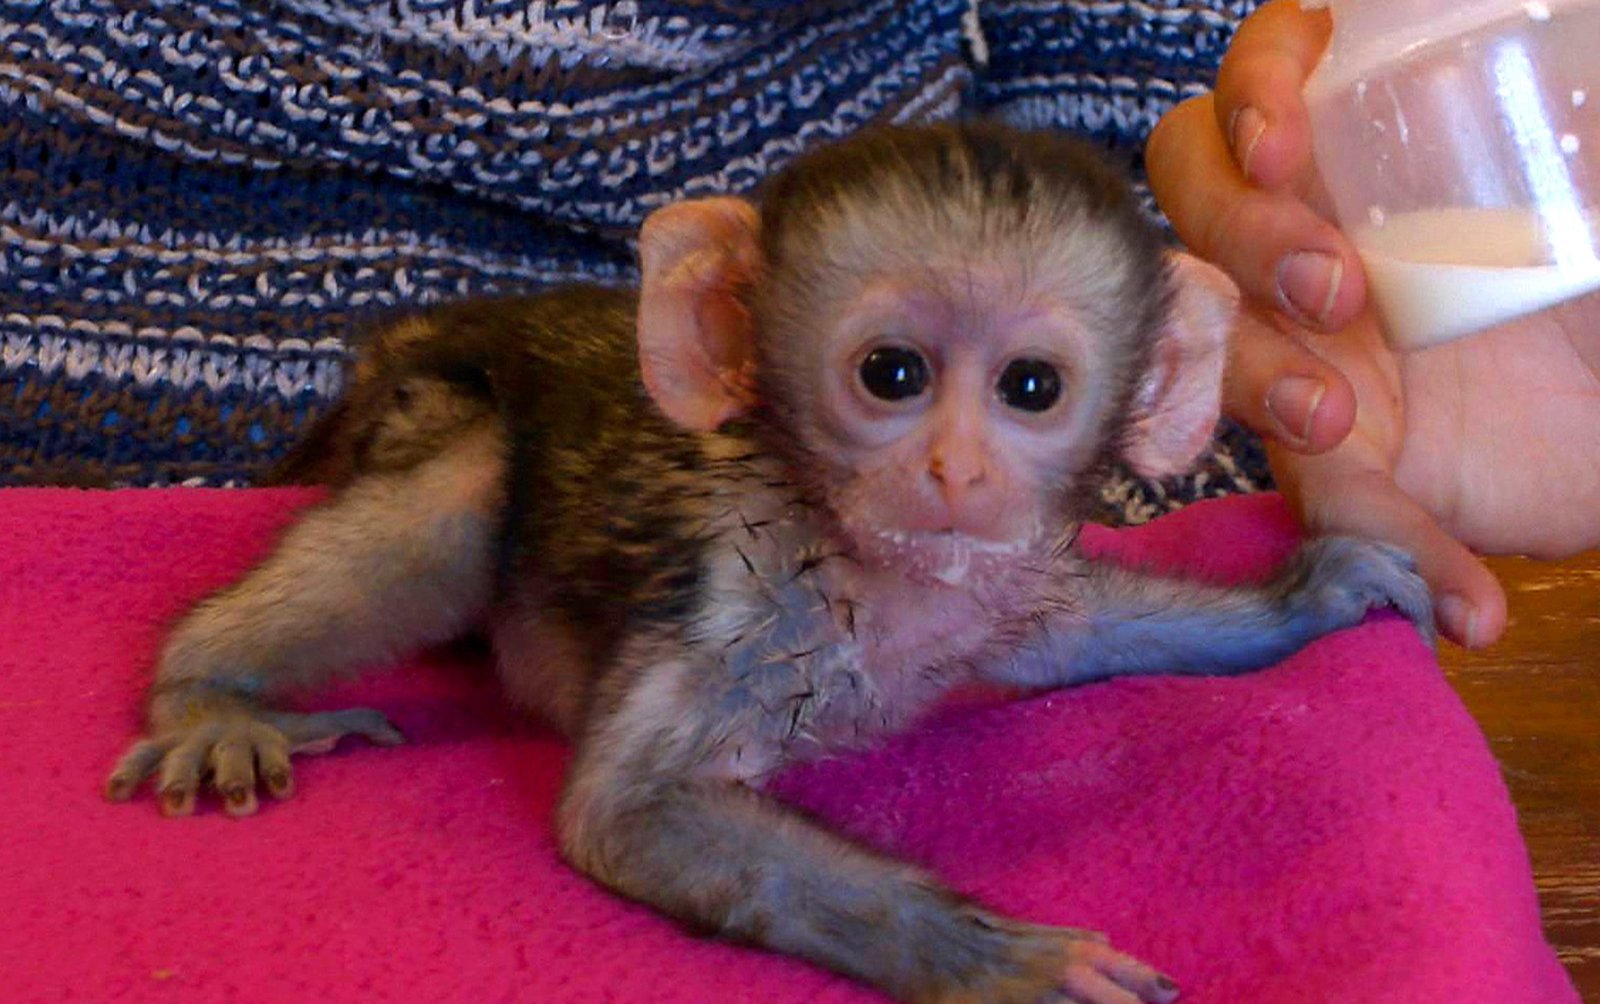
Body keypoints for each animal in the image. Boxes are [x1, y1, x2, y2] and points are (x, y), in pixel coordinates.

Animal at [105, 122, 1433, 1004]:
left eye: (1030, 388)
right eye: (891, 374)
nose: (956, 471)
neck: (875, 577)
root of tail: (438, 327)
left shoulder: (999, 586)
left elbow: (1086, 629)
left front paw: (1303, 598)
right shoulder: (742, 603)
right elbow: (625, 810)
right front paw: (998, 960)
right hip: (432, 412)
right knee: (466, 485)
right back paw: (207, 690)